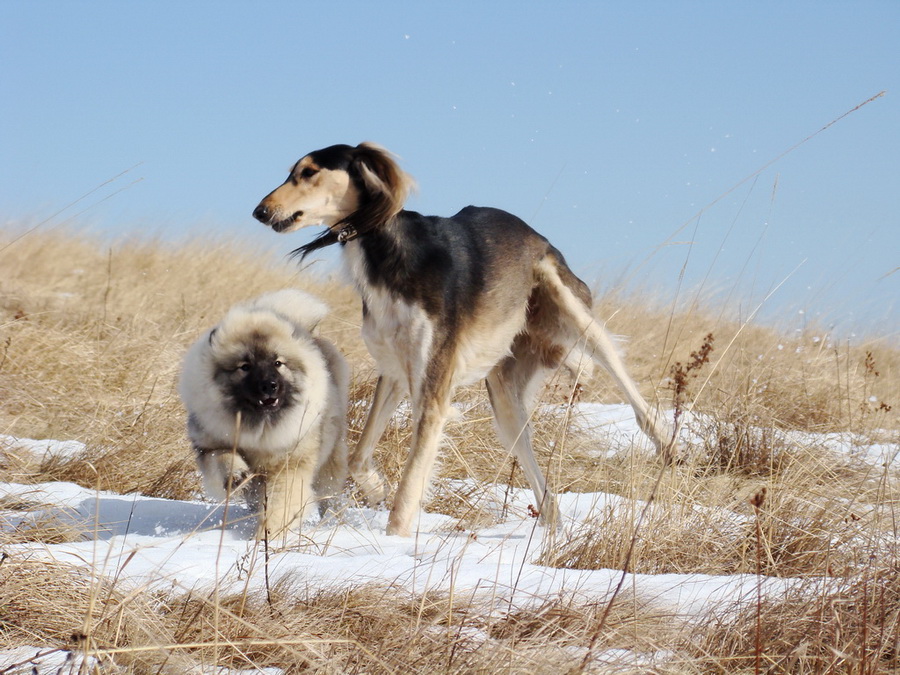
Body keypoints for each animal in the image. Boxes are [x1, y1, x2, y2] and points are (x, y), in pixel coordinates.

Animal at [179, 290, 348, 544]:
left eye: (278, 363)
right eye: (245, 366)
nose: (269, 385)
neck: (259, 428)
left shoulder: (287, 468)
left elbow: (280, 505)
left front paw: (265, 536)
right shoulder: (209, 446)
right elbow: (222, 456)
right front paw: (236, 473)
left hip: (330, 462)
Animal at [253, 143, 676, 540]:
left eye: (308, 172)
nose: (260, 211)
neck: (388, 249)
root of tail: (535, 234)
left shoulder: (433, 393)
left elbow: (409, 488)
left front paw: (394, 543)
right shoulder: (395, 370)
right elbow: (359, 458)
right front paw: (375, 489)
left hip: (575, 314)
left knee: (630, 391)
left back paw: (668, 444)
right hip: (506, 403)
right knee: (542, 484)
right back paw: (550, 532)